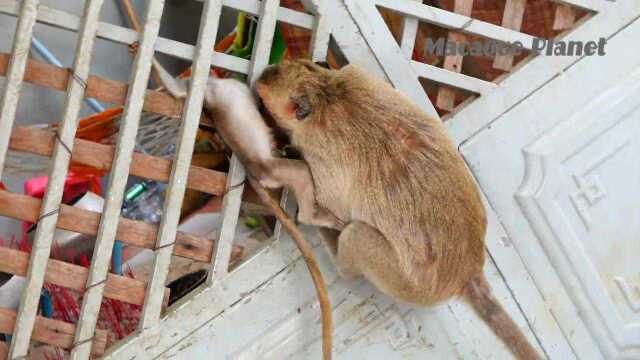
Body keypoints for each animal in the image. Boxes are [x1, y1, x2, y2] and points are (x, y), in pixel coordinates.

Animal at [252, 60, 544, 358]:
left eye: (262, 102)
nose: (258, 87)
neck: (327, 93)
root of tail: (467, 273)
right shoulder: (357, 75)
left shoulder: (317, 148)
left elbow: (327, 205)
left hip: (403, 282)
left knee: (355, 235)